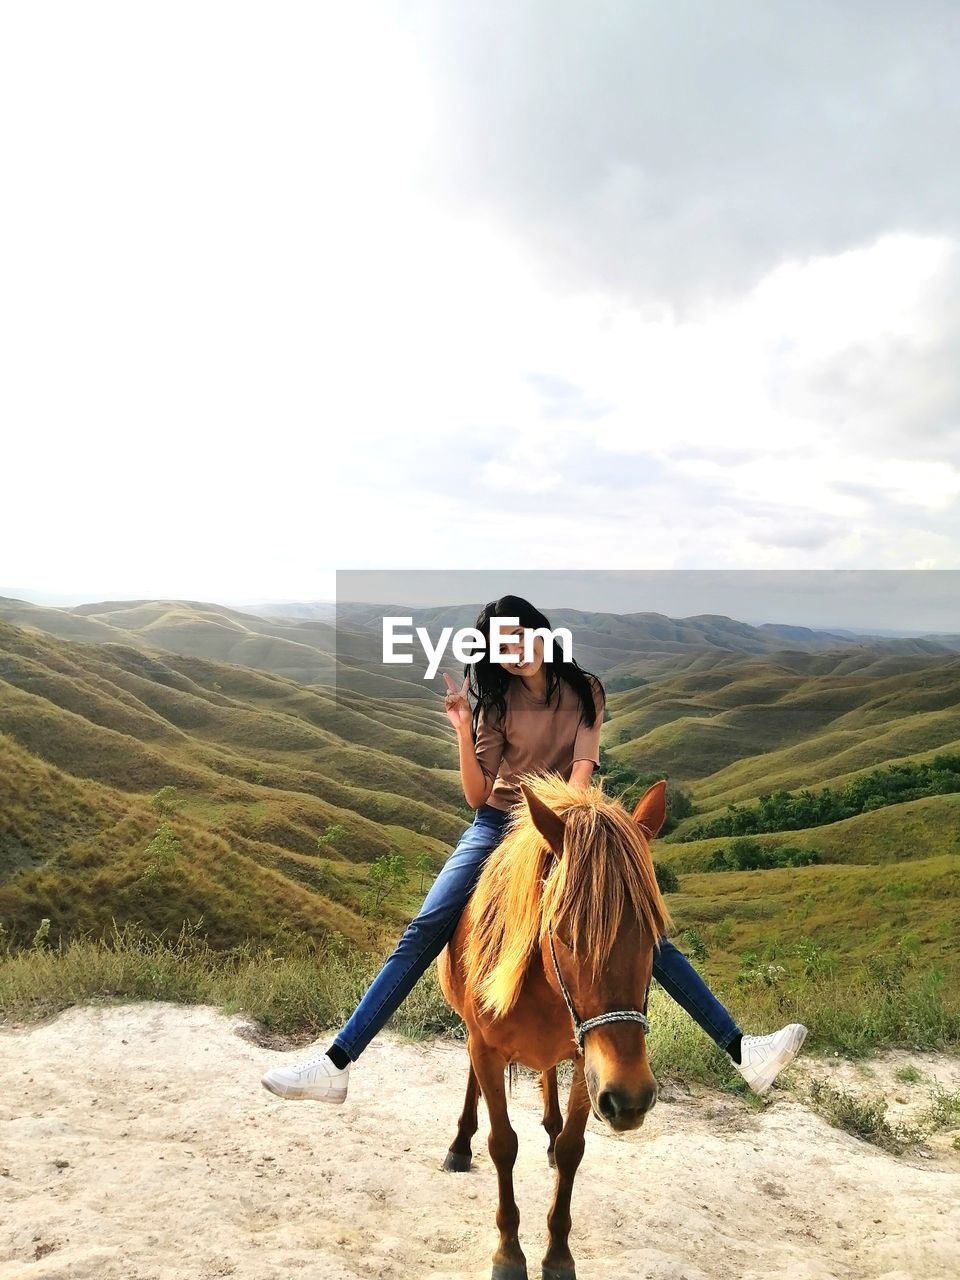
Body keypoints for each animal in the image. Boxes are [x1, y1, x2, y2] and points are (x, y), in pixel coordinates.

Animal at [440, 768, 670, 1280]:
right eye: (564, 931)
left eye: (654, 933)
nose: (630, 1098)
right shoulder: (487, 1048)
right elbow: (502, 1143)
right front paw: (509, 1253)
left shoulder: (592, 1063)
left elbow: (571, 1149)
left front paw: (558, 1255)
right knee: (471, 1079)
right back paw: (460, 1144)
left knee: (548, 1080)